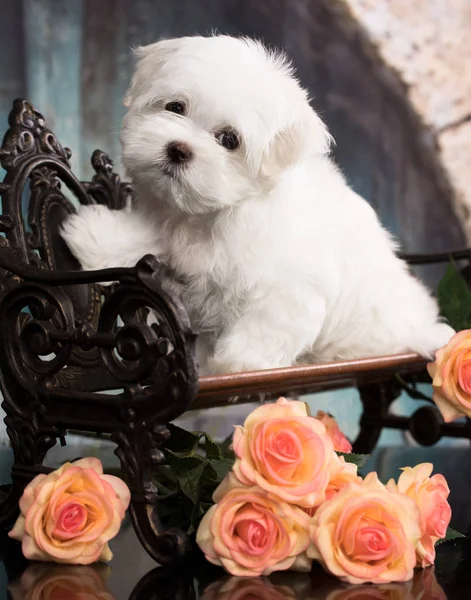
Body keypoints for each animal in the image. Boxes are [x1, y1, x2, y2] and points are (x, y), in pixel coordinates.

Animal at [60, 35, 456, 372]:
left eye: (229, 140)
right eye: (175, 107)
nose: (178, 149)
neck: (213, 213)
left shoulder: (290, 287)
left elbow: (267, 323)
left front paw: (237, 363)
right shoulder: (168, 221)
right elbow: (147, 236)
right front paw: (95, 238)